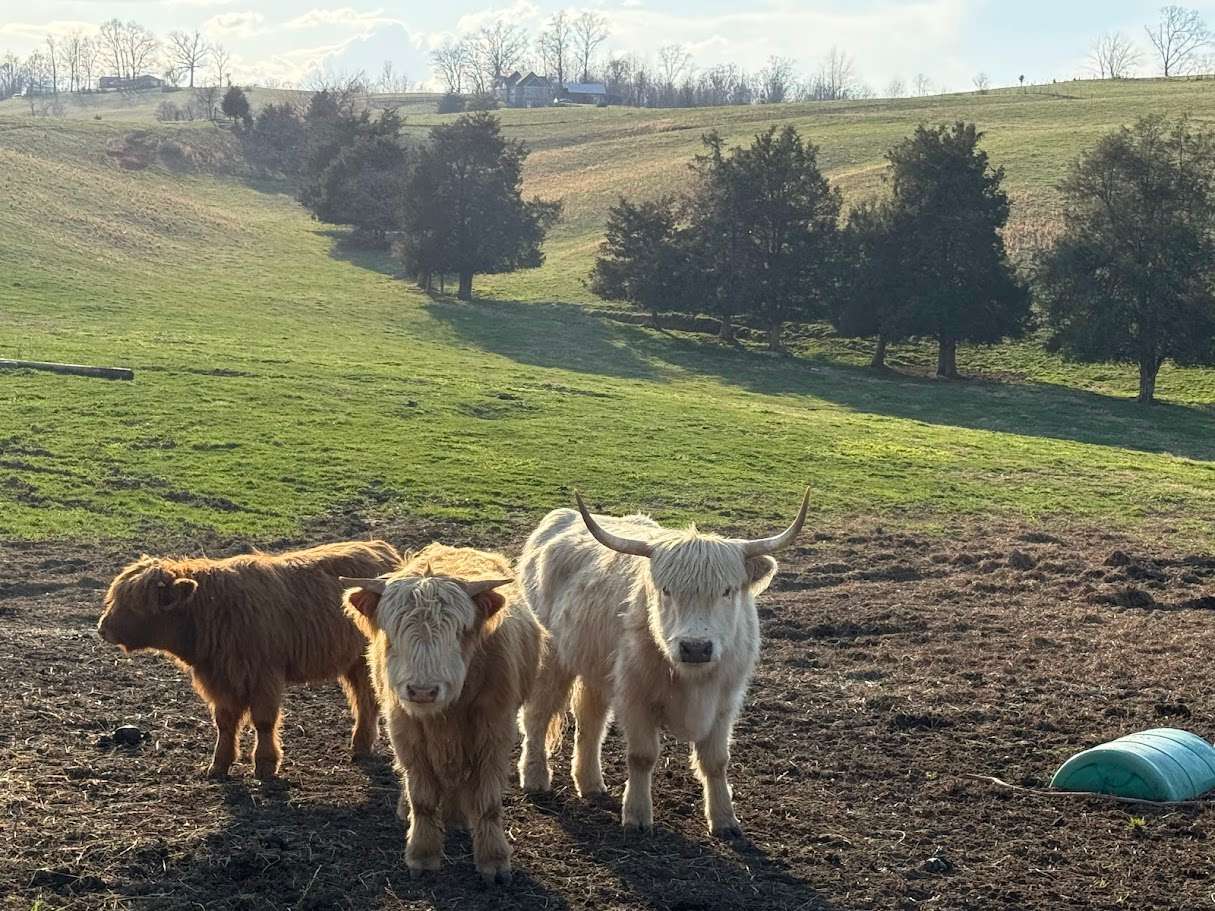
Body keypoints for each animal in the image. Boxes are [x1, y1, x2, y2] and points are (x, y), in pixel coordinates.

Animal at [97, 540, 401, 779]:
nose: (102, 628)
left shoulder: (263, 675)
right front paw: (219, 765)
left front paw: (265, 765)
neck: (210, 609)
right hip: (353, 662)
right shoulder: (220, 678)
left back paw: (360, 746)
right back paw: (360, 746)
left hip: (364, 661)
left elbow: (264, 720)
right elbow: (225, 722)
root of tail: (379, 548)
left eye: (136, 603)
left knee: (366, 700)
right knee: (364, 699)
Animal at [340, 543, 545, 884]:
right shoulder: (405, 728)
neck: (447, 713)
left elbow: (488, 799)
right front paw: (422, 854)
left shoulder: (495, 729)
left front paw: (494, 860)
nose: (423, 691)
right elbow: (421, 795)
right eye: (393, 630)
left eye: (459, 631)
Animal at [517, 490, 808, 838]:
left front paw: (724, 819)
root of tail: (559, 519)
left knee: (590, 719)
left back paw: (590, 784)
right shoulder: (635, 696)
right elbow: (642, 756)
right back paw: (534, 777)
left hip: (595, 665)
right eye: (666, 590)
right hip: (551, 657)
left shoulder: (725, 702)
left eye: (727, 591)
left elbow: (716, 761)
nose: (695, 647)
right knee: (537, 715)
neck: (691, 680)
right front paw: (637, 815)